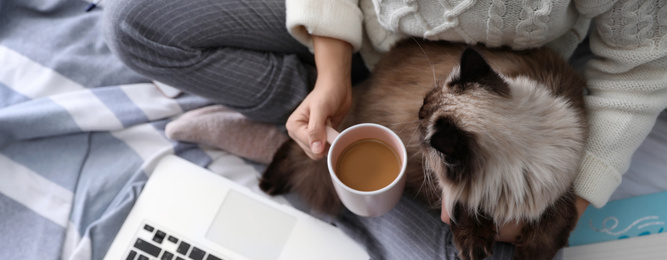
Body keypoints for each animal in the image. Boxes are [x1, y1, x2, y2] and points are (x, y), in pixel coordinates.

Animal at [258, 39, 588, 260]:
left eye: (423, 114)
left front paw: (526, 254)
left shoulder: (558, 190)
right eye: (422, 105)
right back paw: (269, 184)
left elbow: (552, 229)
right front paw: (474, 247)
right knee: (296, 150)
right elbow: (467, 210)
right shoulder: (451, 190)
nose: (417, 117)